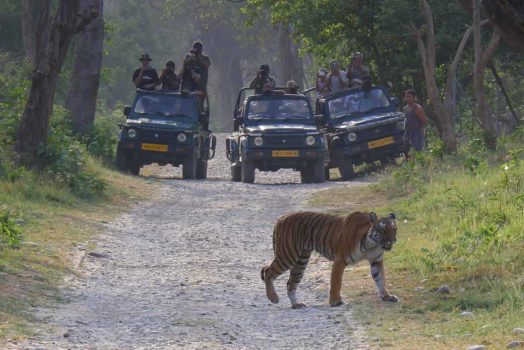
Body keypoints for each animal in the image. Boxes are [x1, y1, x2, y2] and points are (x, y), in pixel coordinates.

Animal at [260, 212, 400, 308]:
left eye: (394, 229)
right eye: (383, 229)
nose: (392, 240)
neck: (373, 244)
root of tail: (282, 217)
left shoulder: (376, 260)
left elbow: (381, 279)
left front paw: (387, 296)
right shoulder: (340, 260)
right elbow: (336, 282)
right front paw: (335, 302)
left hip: (301, 261)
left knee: (290, 283)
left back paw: (297, 305)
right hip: (288, 255)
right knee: (268, 271)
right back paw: (273, 298)